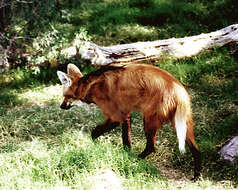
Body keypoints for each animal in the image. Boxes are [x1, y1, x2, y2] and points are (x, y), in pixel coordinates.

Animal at [57, 63, 201, 179]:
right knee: (196, 150)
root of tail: (178, 89)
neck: (89, 87)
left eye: (65, 96)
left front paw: (95, 145)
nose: (61, 106)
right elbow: (126, 140)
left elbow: (95, 132)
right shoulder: (125, 114)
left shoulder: (116, 116)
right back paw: (197, 176)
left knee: (151, 146)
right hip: (182, 122)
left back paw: (138, 159)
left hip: (149, 119)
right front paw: (126, 155)